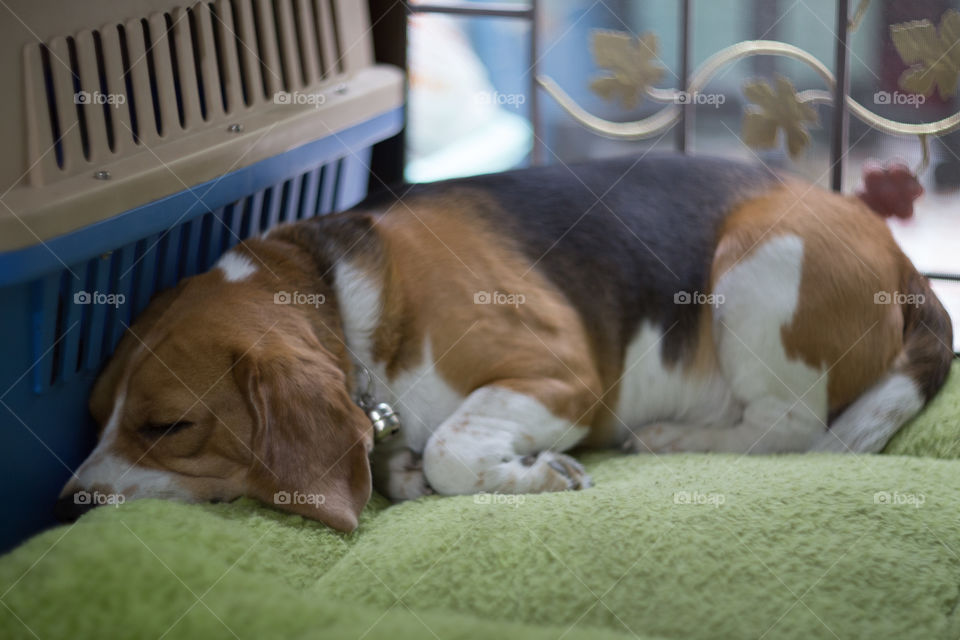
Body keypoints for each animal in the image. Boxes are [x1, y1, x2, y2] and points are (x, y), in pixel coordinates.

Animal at [58, 154, 952, 528]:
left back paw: (673, 436)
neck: (343, 298)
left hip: (762, 261)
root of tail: (904, 259)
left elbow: (455, 451)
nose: (65, 505)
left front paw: (536, 474)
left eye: (169, 426)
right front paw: (404, 472)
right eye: (94, 414)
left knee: (789, 427)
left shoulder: (561, 376)